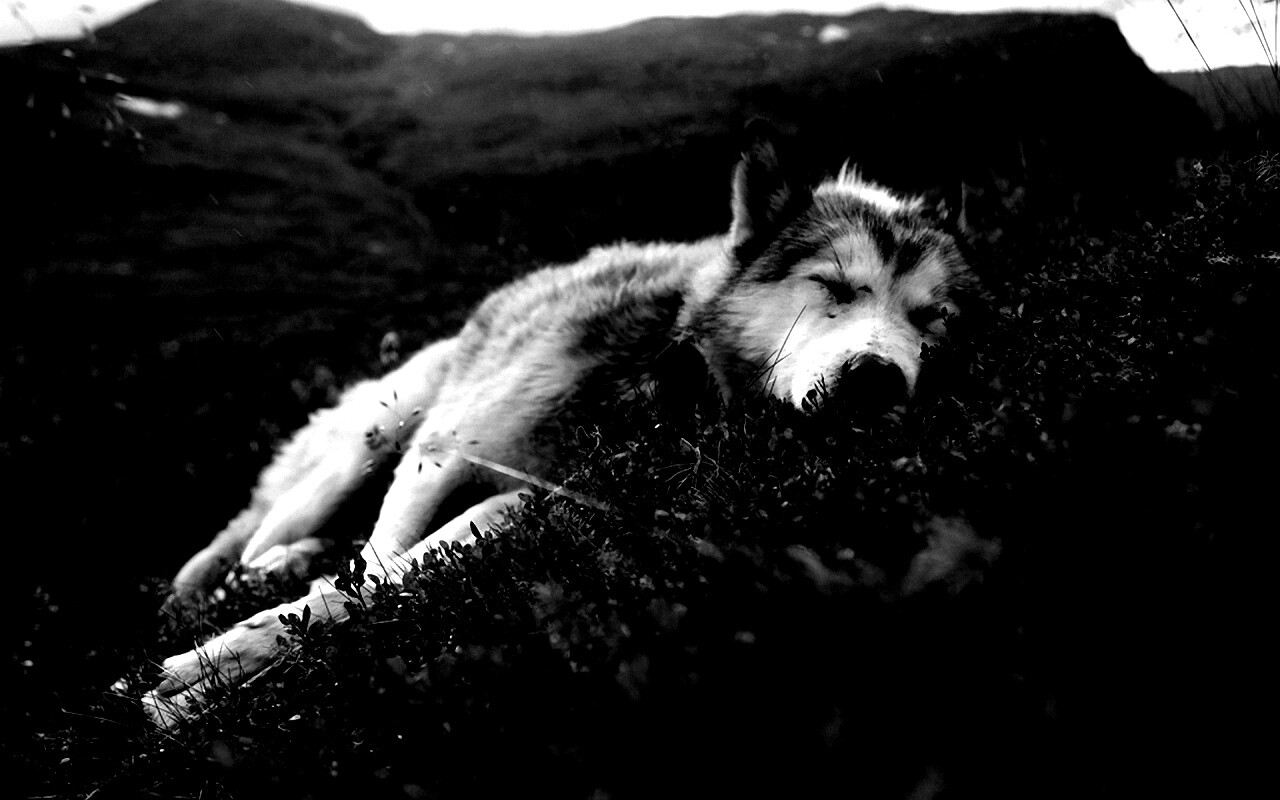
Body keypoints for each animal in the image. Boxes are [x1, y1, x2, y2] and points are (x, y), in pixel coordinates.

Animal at [131, 138, 974, 727]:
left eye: (930, 320)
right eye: (833, 286)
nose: (879, 380)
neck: (664, 373)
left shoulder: (539, 504)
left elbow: (384, 582)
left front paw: (204, 681)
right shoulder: (441, 457)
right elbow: (371, 570)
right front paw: (208, 669)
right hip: (371, 440)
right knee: (251, 541)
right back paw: (247, 576)